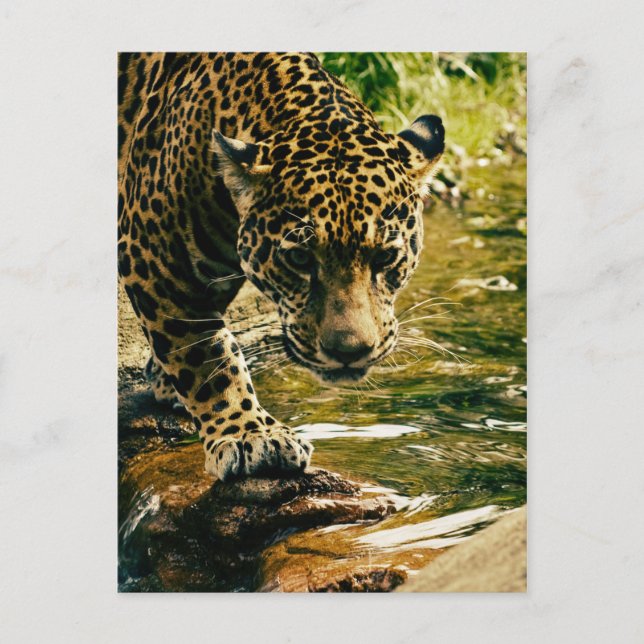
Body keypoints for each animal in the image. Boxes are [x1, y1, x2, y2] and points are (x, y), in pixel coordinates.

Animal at [118, 52, 444, 482]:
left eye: (385, 258)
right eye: (300, 259)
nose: (350, 352)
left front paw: (165, 379)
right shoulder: (154, 254)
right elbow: (208, 356)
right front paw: (250, 435)